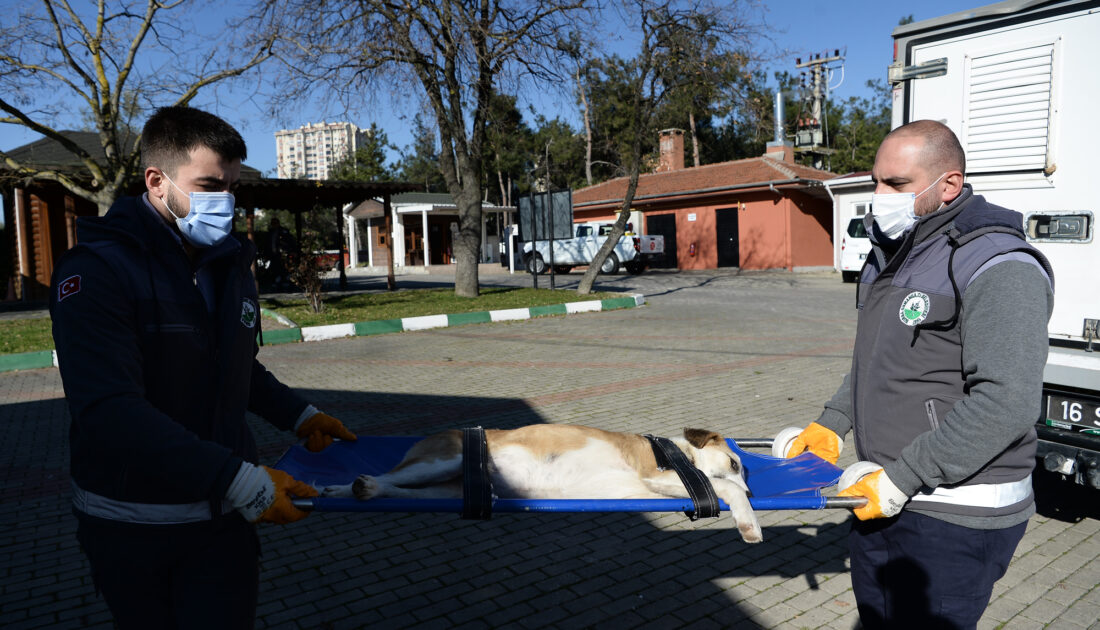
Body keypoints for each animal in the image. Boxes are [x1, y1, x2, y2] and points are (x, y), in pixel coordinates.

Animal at [321, 424, 761, 543]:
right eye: (734, 462)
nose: (756, 493)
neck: (678, 453)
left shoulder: (650, 487)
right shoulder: (654, 476)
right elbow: (722, 487)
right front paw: (748, 522)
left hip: (448, 488)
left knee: (396, 487)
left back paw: (366, 491)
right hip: (439, 461)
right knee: (390, 475)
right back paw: (340, 489)